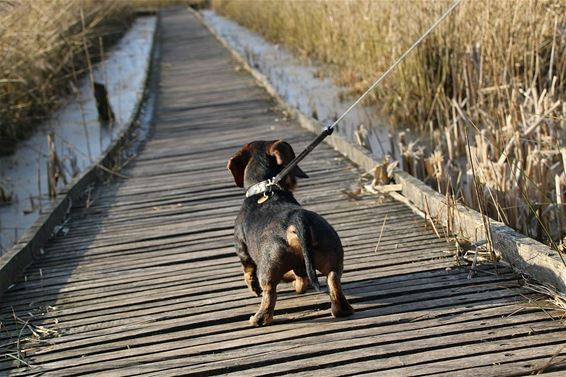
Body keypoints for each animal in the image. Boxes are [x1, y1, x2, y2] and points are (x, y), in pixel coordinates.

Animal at [227, 140, 356, 324]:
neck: (263, 190)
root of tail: (298, 219)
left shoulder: (241, 248)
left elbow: (248, 270)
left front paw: (253, 286)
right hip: (331, 258)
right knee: (331, 281)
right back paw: (342, 310)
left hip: (268, 270)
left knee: (269, 295)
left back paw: (258, 319)